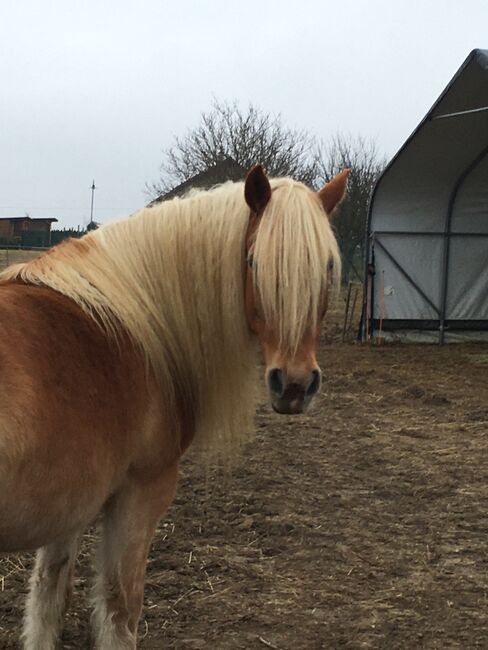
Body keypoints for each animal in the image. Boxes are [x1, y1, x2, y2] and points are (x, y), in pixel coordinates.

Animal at [0, 165, 346, 644]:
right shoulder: (142, 492)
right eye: (253, 262)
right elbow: (120, 608)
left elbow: (47, 601)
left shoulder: (68, 507)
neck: (132, 327)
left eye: (327, 267)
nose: (294, 385)